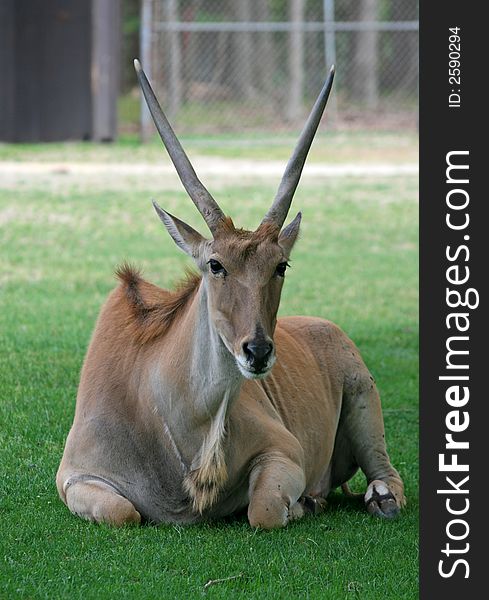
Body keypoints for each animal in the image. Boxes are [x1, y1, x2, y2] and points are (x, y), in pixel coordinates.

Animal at [56, 61, 404, 528]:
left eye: (280, 265)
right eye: (215, 264)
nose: (257, 352)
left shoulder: (284, 451)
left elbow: (264, 509)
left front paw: (303, 503)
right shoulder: (75, 477)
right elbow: (122, 512)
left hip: (364, 398)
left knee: (386, 474)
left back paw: (377, 497)